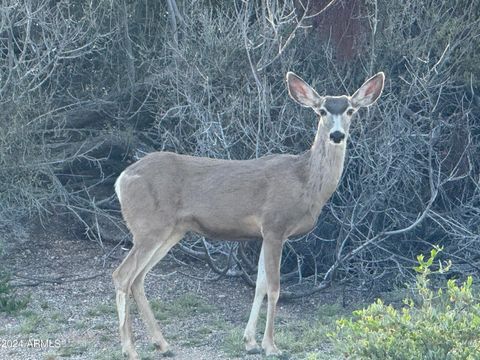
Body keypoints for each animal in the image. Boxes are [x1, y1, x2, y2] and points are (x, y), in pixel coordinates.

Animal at [110, 71, 384, 358]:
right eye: (321, 111)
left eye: (350, 110)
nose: (337, 135)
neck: (305, 181)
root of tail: (121, 179)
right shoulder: (275, 225)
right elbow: (274, 288)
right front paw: (271, 345)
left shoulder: (264, 234)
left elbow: (260, 285)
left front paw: (250, 341)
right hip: (149, 226)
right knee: (122, 275)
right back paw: (130, 349)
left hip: (172, 230)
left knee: (138, 278)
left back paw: (162, 344)